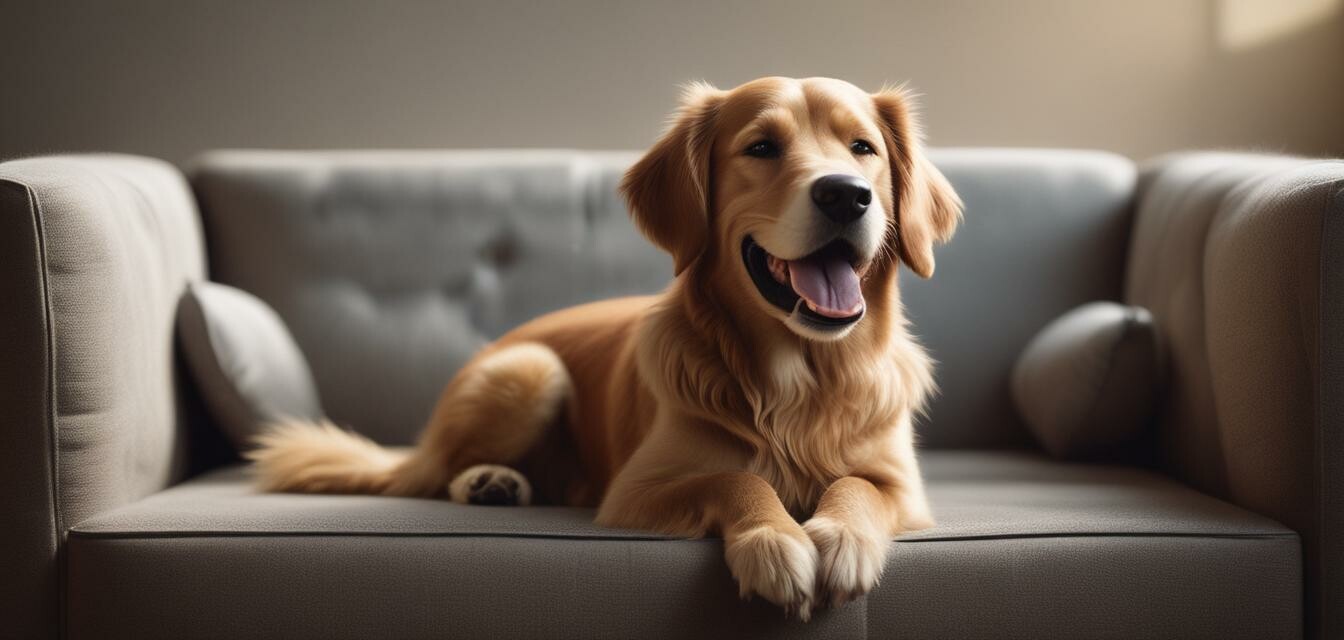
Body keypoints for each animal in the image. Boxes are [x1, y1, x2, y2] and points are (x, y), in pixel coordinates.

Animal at [249, 76, 956, 621]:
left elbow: (857, 485)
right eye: (761, 147)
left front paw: (841, 539)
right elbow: (735, 476)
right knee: (433, 474)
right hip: (531, 371)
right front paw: (774, 543)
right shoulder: (632, 494)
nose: (845, 194)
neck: (800, 379)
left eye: (862, 148)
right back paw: (487, 480)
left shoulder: (905, 489)